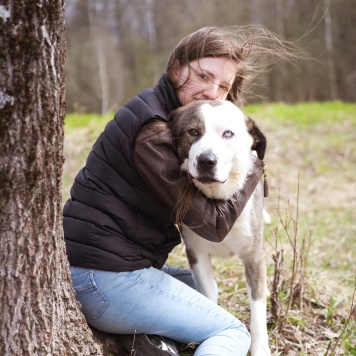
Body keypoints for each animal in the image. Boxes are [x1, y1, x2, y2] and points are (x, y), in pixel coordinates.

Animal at [170, 100, 270, 356]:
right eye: (193, 131)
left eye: (228, 134)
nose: (206, 160)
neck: (218, 202)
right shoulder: (196, 253)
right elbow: (207, 295)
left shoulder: (254, 256)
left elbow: (257, 312)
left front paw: (260, 348)